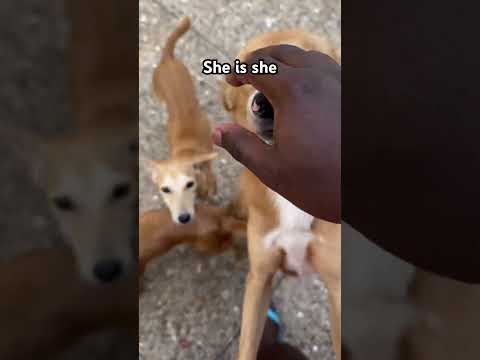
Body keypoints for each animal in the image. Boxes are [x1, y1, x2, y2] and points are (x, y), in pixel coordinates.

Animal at [221, 31, 342, 360]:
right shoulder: (259, 277)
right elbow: (247, 345)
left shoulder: (337, 287)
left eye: (318, 58)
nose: (265, 104)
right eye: (245, 67)